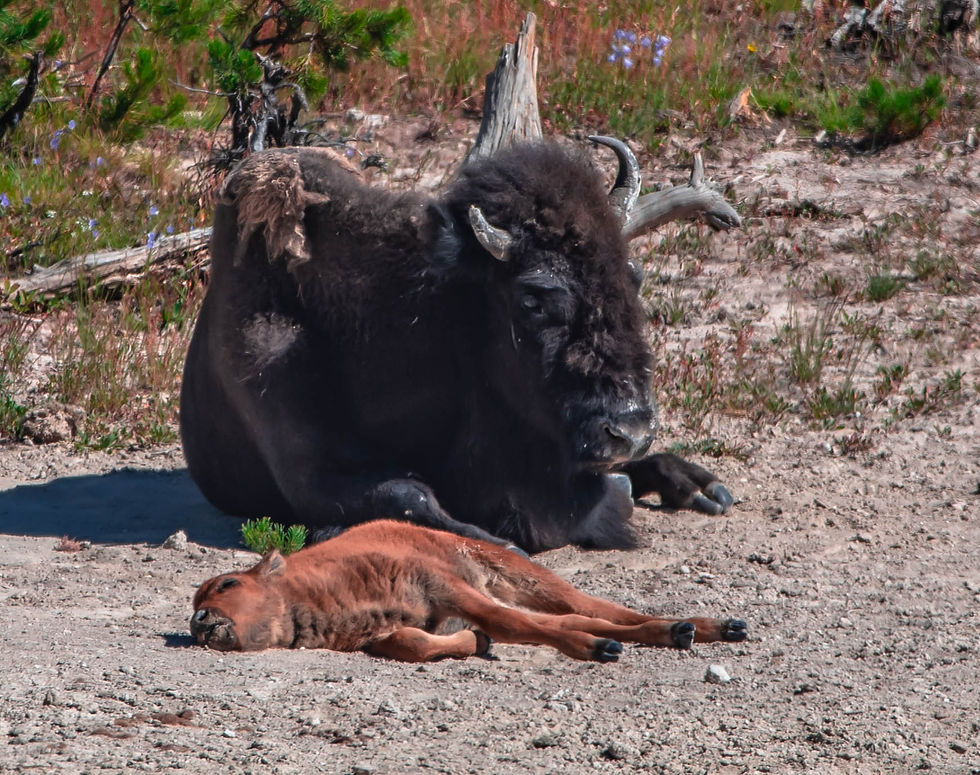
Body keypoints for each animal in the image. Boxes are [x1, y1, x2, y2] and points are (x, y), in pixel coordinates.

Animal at [180, 137, 734, 554]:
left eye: (633, 277)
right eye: (532, 298)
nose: (629, 430)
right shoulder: (311, 472)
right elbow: (410, 496)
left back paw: (702, 487)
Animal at [191, 520, 747, 661]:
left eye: (227, 584)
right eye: (195, 602)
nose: (197, 621)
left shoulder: (447, 589)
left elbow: (515, 624)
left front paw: (597, 650)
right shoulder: (391, 631)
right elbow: (416, 643)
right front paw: (478, 643)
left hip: (524, 578)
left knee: (592, 609)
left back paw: (708, 626)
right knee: (574, 617)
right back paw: (686, 630)